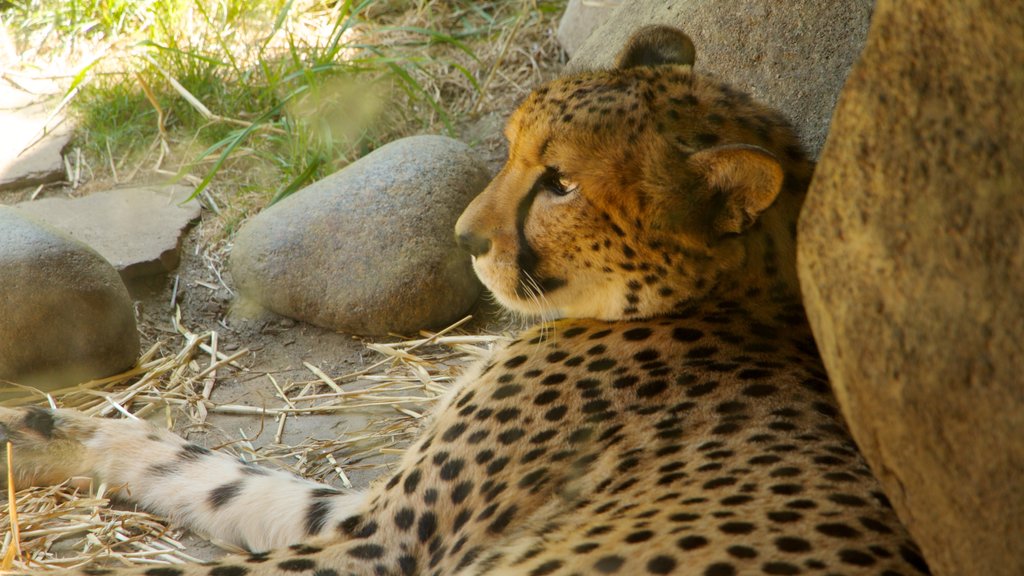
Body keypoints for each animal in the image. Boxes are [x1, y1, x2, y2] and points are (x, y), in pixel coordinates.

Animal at [0, 25, 929, 573]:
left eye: (561, 184)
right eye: (512, 149)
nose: (465, 236)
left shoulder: (385, 541)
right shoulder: (369, 512)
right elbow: (211, 472)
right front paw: (40, 432)